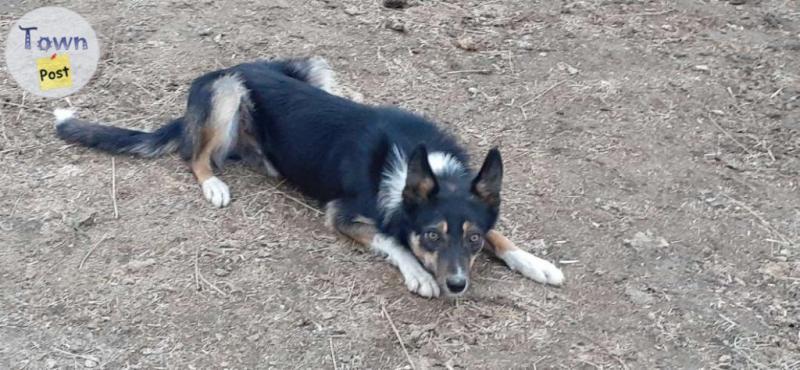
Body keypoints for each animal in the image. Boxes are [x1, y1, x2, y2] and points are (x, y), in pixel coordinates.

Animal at [54, 55, 564, 298]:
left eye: (472, 239)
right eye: (431, 237)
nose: (457, 285)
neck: (417, 165)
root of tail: (233, 64)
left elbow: (503, 235)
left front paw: (534, 262)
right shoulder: (342, 213)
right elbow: (392, 239)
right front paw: (418, 274)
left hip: (313, 67)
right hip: (227, 91)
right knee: (194, 156)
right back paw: (214, 183)